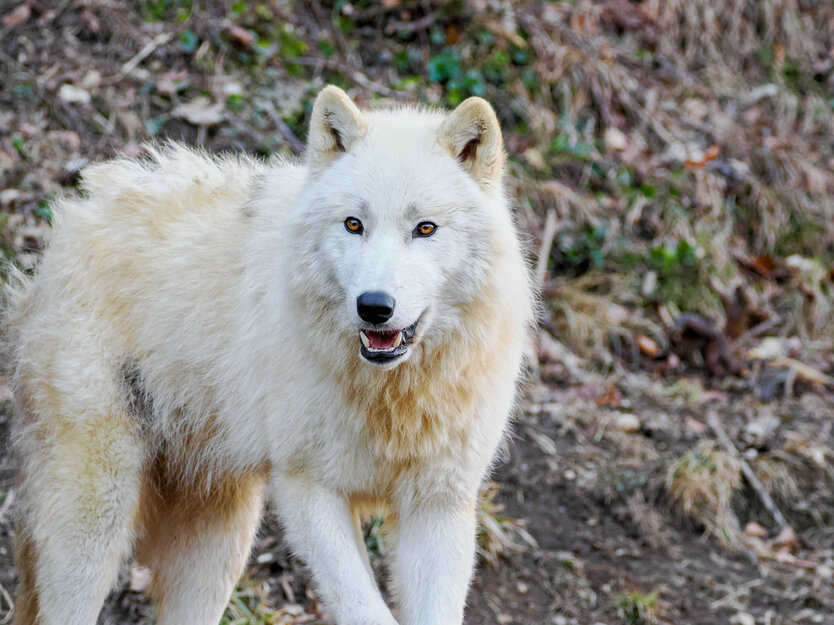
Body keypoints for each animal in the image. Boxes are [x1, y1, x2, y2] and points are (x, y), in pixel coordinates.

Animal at [4, 84, 532, 624]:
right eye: (354, 224)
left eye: (425, 229)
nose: (374, 306)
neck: (394, 394)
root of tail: (62, 233)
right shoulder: (308, 489)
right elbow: (366, 609)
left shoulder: (440, 506)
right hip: (97, 523)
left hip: (217, 544)